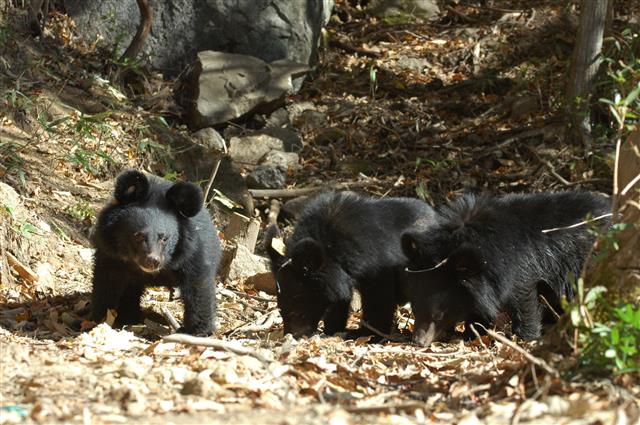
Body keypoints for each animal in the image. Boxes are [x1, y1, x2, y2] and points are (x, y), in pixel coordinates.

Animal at [89, 170, 221, 334]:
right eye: (139, 236)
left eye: (164, 238)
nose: (152, 260)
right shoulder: (110, 253)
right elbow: (107, 282)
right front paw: (99, 317)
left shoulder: (192, 254)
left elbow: (198, 287)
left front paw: (199, 331)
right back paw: (129, 316)